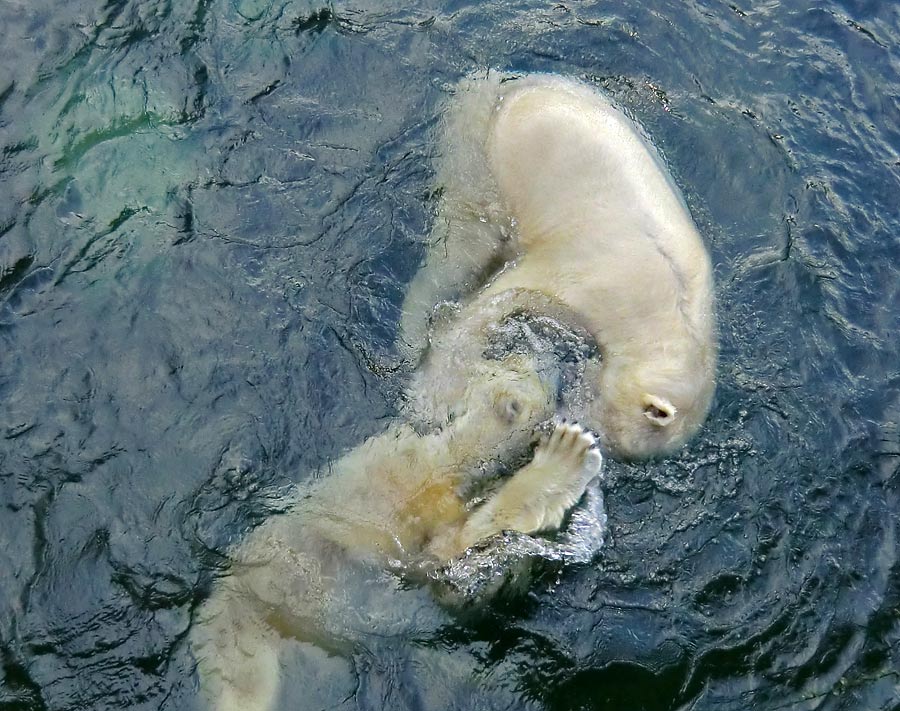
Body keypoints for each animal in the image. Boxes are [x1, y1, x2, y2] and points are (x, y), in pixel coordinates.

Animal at [402, 73, 716, 462]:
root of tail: (501, 85)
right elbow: (509, 293)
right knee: (460, 248)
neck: (669, 312)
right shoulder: (602, 276)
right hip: (482, 164)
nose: (560, 423)